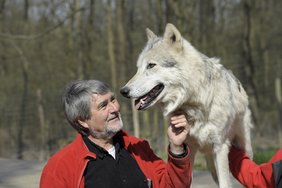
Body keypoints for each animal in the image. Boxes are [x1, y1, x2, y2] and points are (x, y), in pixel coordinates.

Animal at [120, 23, 254, 188]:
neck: (194, 105)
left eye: (151, 65)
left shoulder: (220, 147)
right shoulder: (188, 147)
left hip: (243, 149)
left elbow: (225, 183)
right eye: (138, 68)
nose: (123, 91)